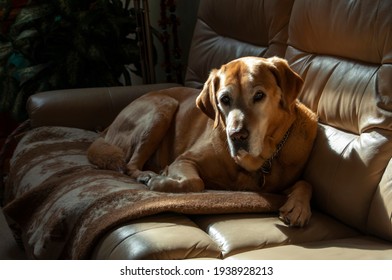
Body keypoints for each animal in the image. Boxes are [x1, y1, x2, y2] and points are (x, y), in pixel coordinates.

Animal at [87, 57, 316, 228]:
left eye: (259, 95)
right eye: (224, 99)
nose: (237, 136)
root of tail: (107, 128)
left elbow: (306, 182)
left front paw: (298, 207)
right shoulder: (184, 160)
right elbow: (195, 182)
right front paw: (161, 181)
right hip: (163, 106)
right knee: (129, 165)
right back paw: (146, 175)